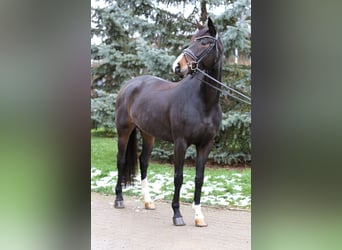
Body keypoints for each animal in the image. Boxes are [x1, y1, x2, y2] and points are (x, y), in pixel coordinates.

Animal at [113, 17, 223, 227]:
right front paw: (177, 214)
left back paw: (148, 202)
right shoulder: (180, 143)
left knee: (144, 162)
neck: (204, 102)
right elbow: (178, 177)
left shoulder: (205, 145)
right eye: (191, 40)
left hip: (148, 134)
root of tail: (129, 85)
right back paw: (119, 199)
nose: (178, 67)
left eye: (205, 43)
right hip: (123, 131)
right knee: (121, 161)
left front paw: (199, 216)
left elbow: (199, 178)